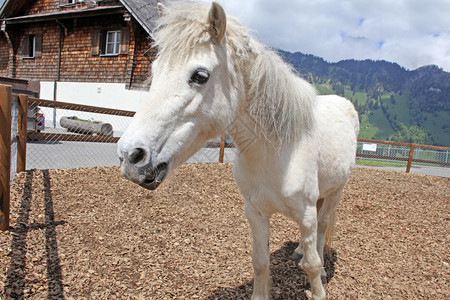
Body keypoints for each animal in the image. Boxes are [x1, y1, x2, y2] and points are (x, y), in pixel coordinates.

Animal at [118, 1, 358, 298]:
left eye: (200, 75)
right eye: (154, 70)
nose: (130, 156)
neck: (275, 152)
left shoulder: (306, 214)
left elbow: (312, 265)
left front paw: (318, 286)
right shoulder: (255, 212)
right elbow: (260, 262)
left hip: (336, 192)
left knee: (323, 229)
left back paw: (323, 268)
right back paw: (299, 251)